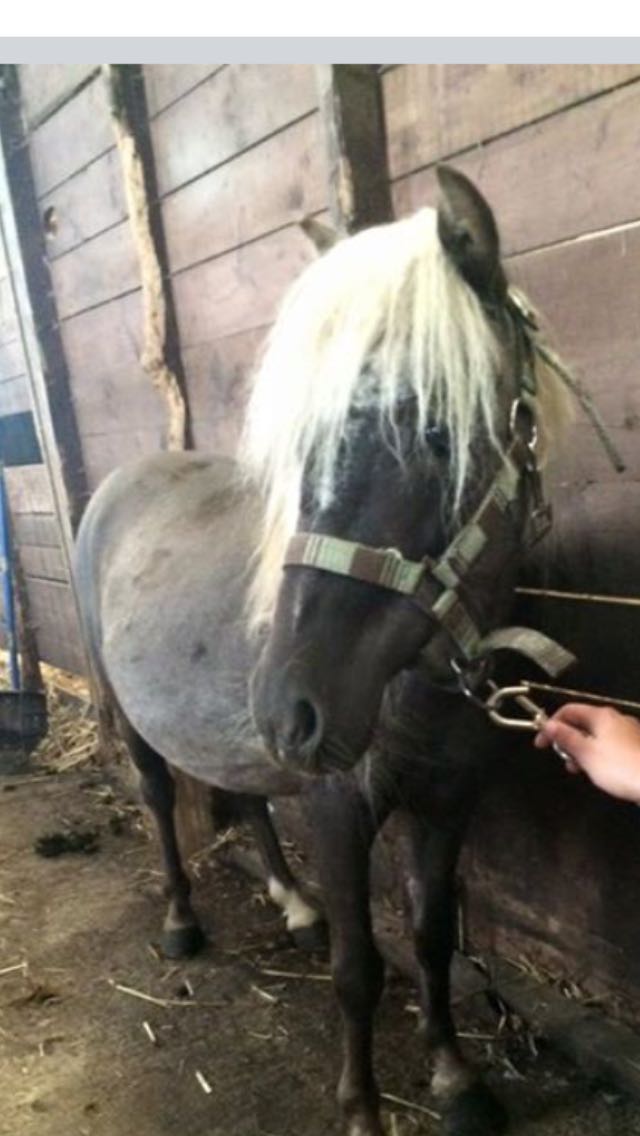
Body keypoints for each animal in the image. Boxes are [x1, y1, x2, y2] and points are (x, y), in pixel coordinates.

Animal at [73, 166, 570, 1136]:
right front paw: (363, 1108)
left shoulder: (448, 803)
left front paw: (456, 1078)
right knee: (160, 800)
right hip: (141, 726)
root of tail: (123, 482)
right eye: (301, 452)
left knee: (247, 796)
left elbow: (431, 938)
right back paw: (182, 922)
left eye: (438, 434)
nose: (290, 709)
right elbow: (359, 969)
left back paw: (292, 902)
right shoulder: (342, 811)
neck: (422, 684)